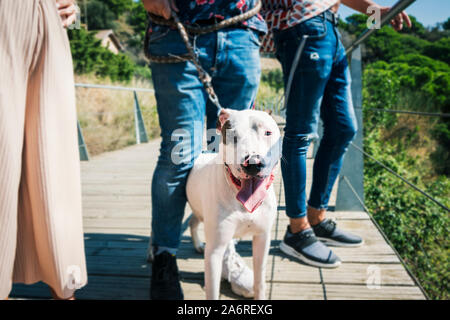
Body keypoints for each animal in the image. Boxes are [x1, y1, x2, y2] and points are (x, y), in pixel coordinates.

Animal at [186, 108, 282, 300]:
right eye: (233, 136)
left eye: (268, 133)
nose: (252, 163)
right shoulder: (214, 250)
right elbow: (212, 291)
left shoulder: (262, 238)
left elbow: (259, 281)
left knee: (193, 221)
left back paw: (198, 245)